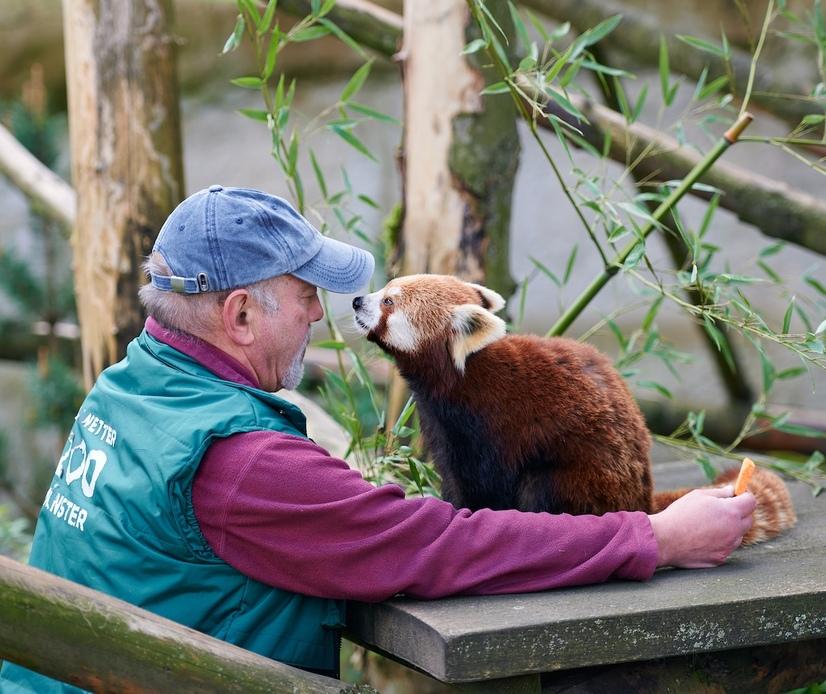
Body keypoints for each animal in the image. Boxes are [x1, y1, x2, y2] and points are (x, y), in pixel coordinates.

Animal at [352, 274, 795, 544]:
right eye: (383, 290)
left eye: (388, 301)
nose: (357, 300)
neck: (462, 375)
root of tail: (641, 499)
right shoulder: (442, 424)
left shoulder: (489, 424)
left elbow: (484, 483)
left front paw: (466, 514)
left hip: (583, 477)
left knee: (543, 487)